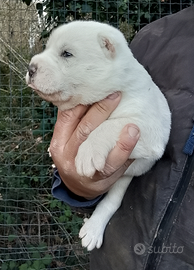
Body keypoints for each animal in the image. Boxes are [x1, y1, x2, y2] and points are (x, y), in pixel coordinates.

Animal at [25, 21, 170, 251]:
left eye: (67, 54)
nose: (31, 68)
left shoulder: (150, 130)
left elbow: (110, 125)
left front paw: (88, 153)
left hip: (128, 174)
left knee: (112, 200)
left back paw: (93, 230)